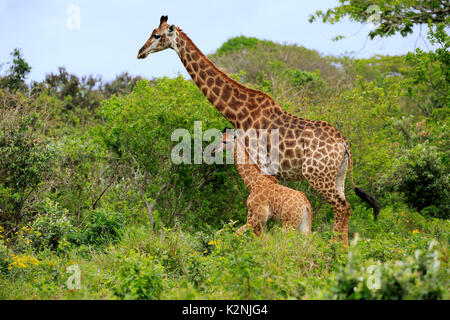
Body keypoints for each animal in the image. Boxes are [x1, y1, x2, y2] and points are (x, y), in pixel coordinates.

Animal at [138, 15, 380, 245]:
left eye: (157, 35)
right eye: (151, 32)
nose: (140, 52)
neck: (239, 112)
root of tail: (344, 144)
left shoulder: (260, 162)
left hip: (318, 174)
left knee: (342, 207)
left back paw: (334, 249)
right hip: (338, 175)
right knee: (344, 208)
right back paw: (343, 249)